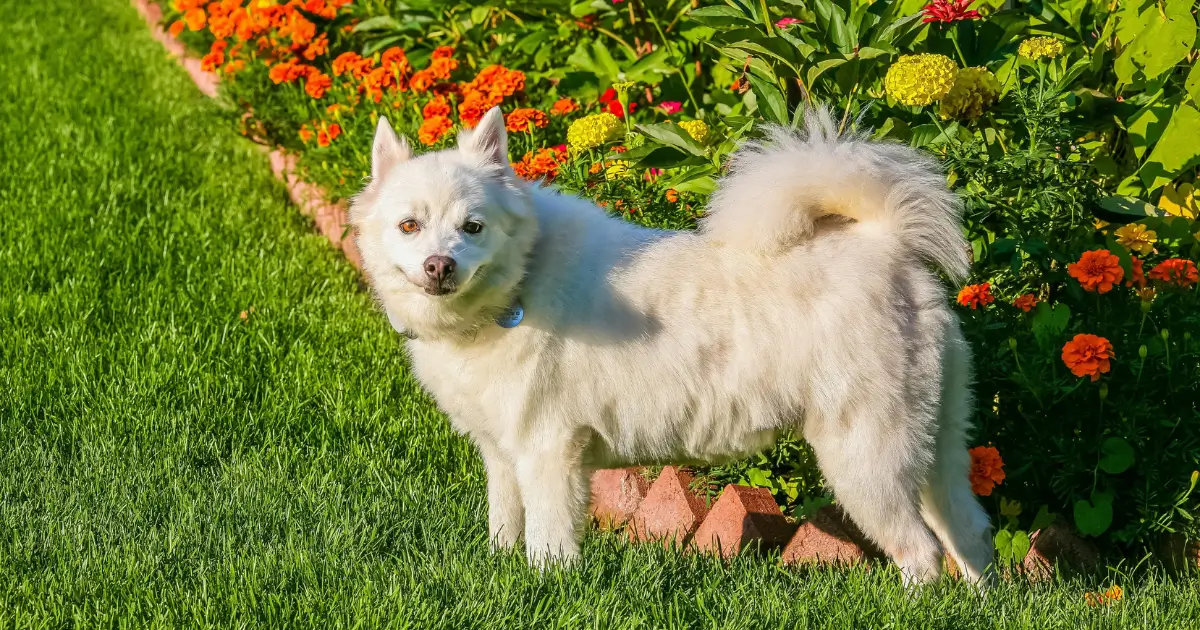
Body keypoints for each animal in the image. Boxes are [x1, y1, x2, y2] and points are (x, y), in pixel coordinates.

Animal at [348, 105, 993, 583]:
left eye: (472, 227)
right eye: (409, 226)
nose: (439, 266)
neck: (522, 279)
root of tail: (887, 243)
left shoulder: (548, 451)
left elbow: (548, 544)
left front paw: (545, 588)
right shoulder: (503, 455)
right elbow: (505, 529)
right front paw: (503, 573)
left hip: (866, 457)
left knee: (921, 554)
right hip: (935, 448)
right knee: (970, 535)